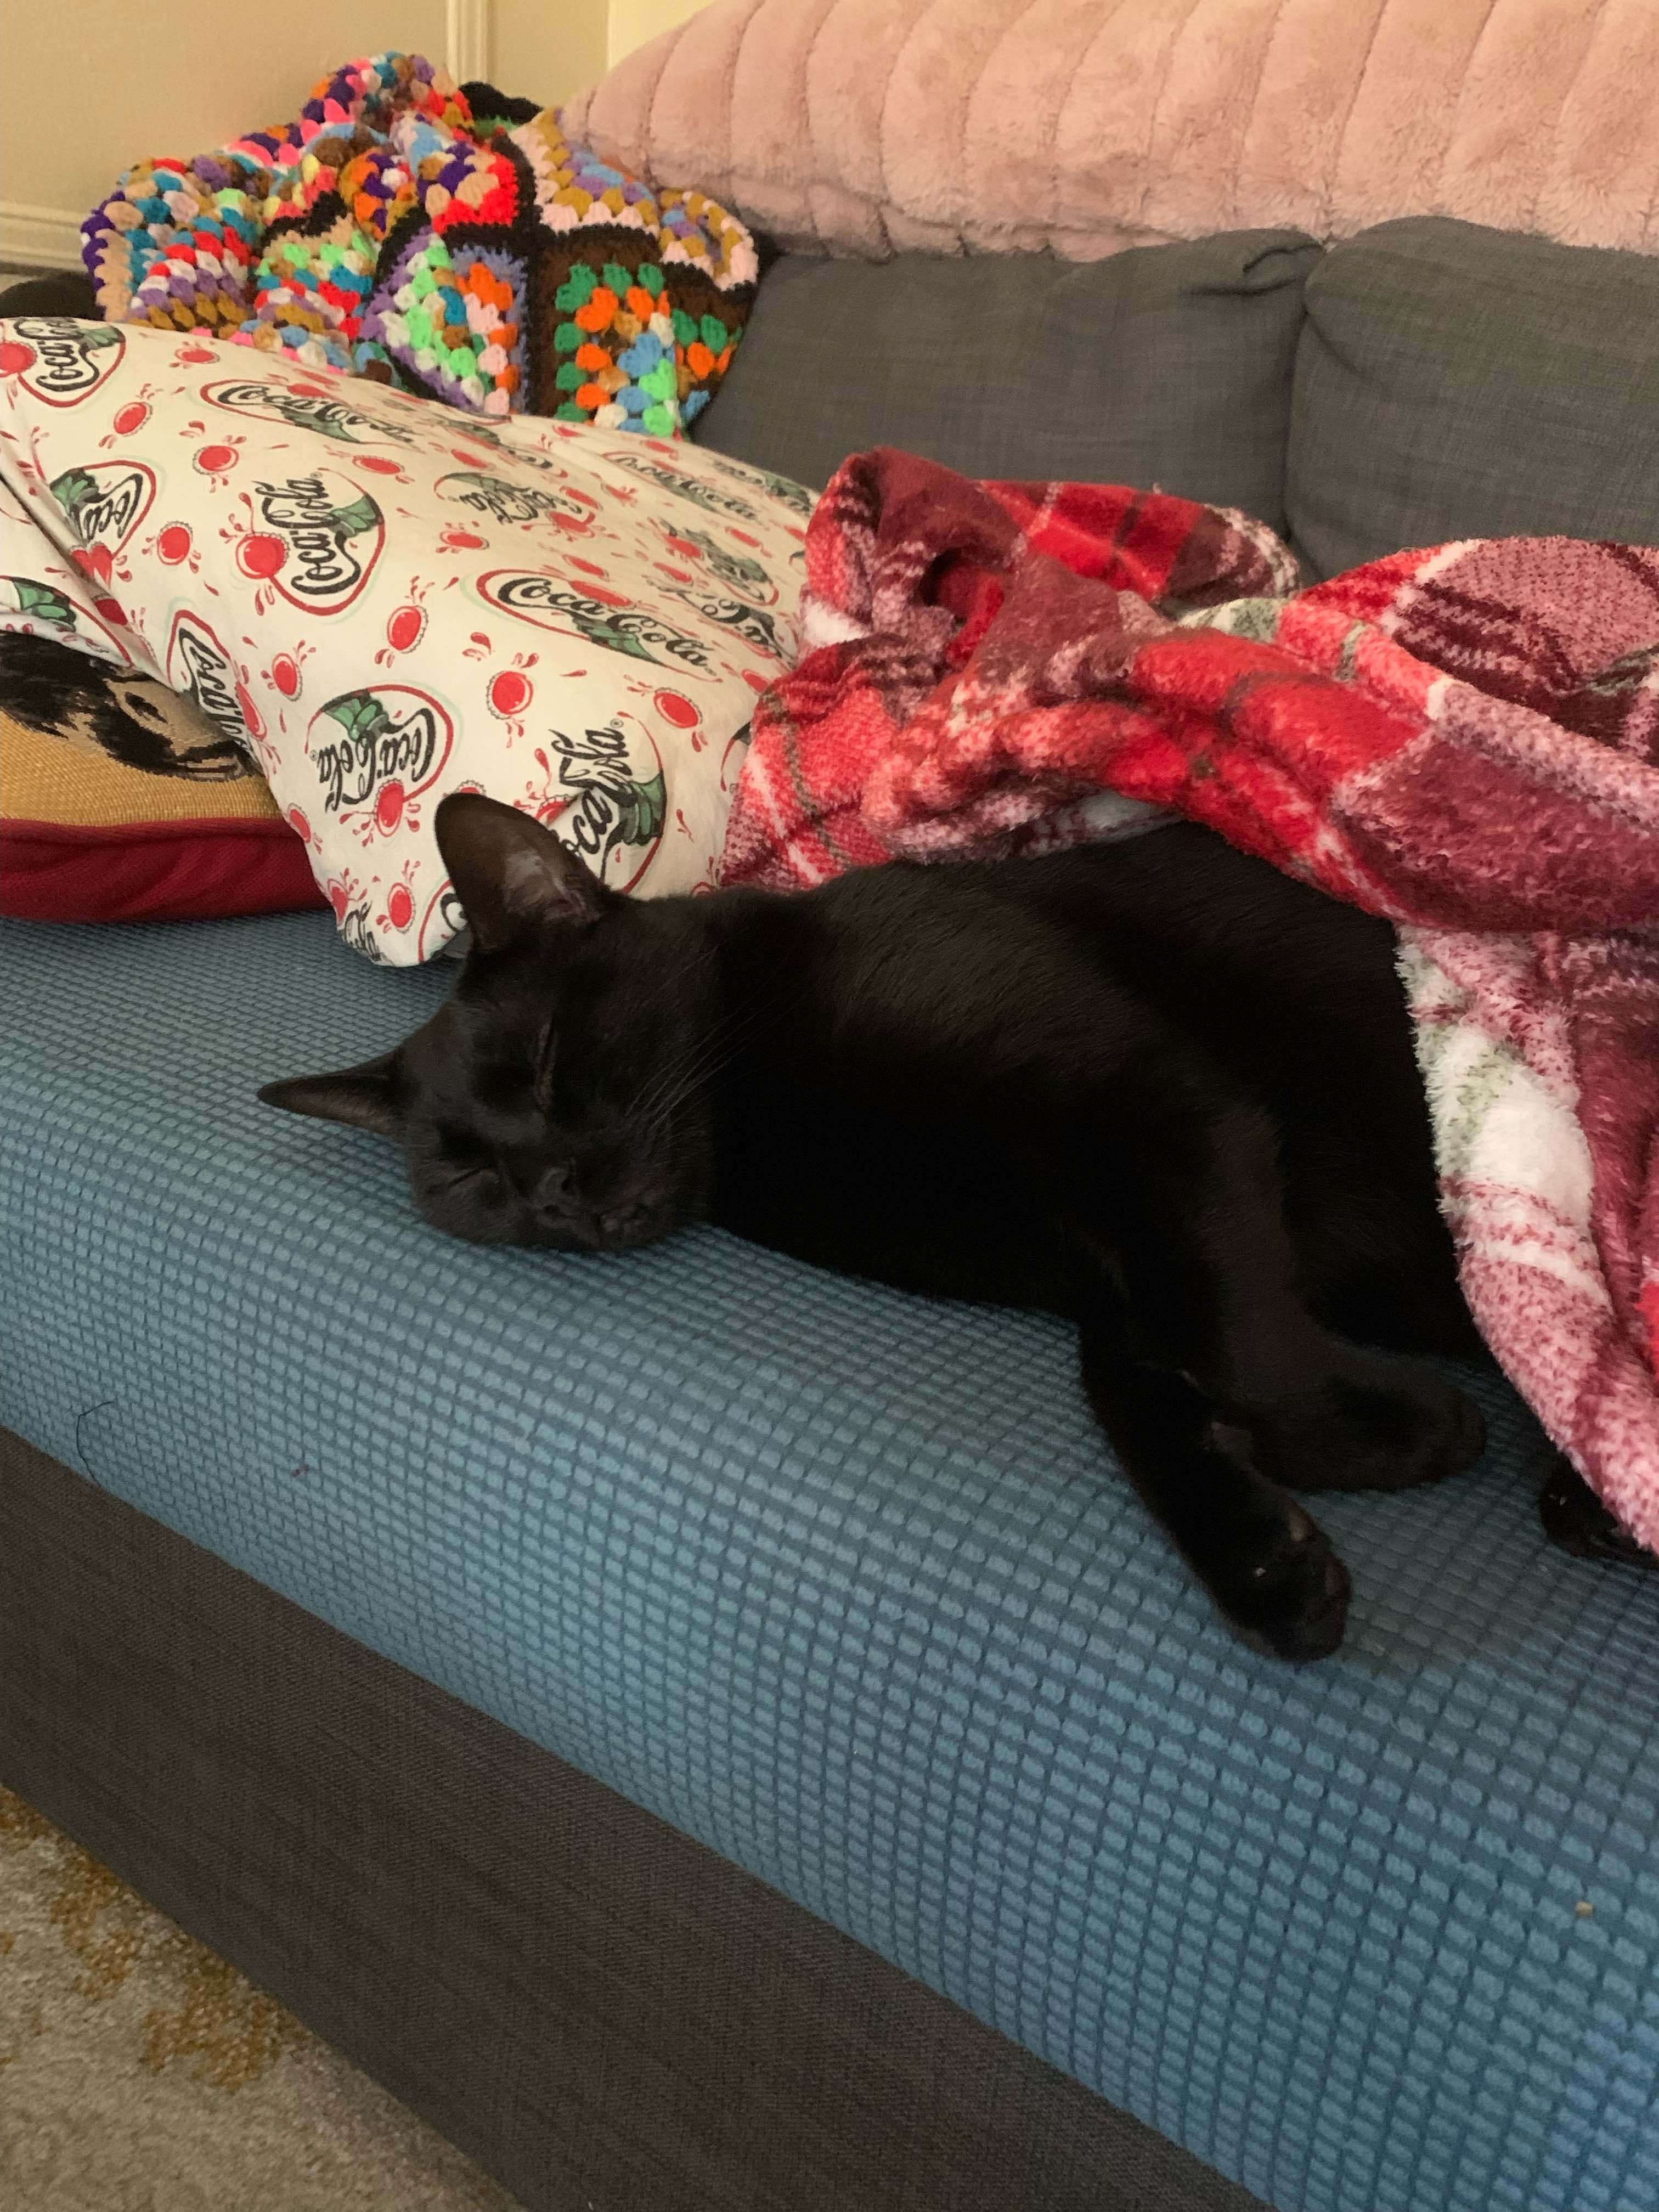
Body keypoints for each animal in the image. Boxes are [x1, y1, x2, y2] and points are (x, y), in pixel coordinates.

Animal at [259, 796, 1575, 1663]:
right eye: (468, 1179)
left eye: (541, 1066)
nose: (554, 1192)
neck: (765, 1136)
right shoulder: (1120, 1247)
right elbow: (1145, 1377)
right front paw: (1268, 1560)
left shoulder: (1145, 1102)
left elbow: (1234, 1340)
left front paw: (1401, 1435)